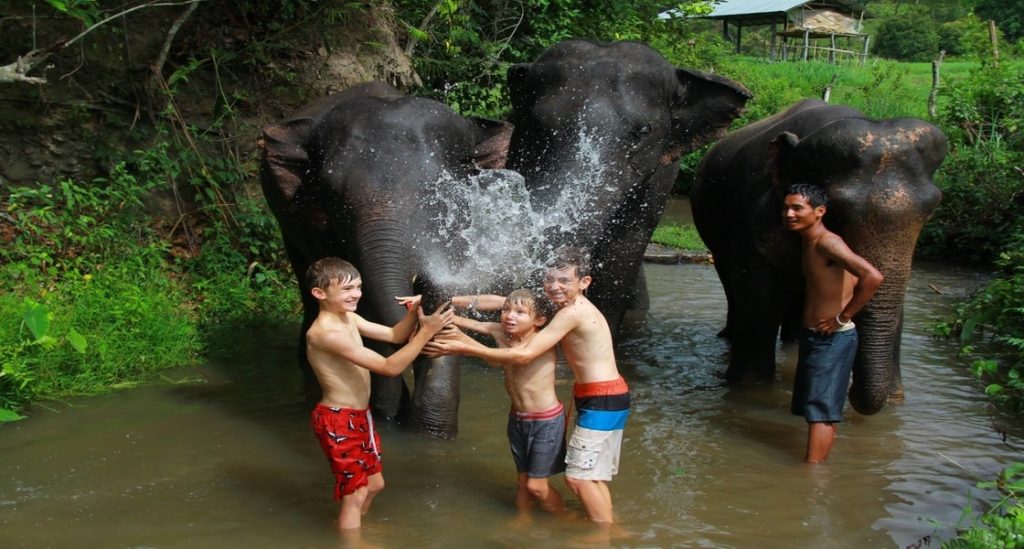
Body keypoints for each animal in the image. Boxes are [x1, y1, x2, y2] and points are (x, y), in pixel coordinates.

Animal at [692, 98, 946, 413]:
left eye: (932, 209)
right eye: (837, 211)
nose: (852, 395)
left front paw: (894, 401)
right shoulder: (753, 221)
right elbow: (760, 299)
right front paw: (751, 391)